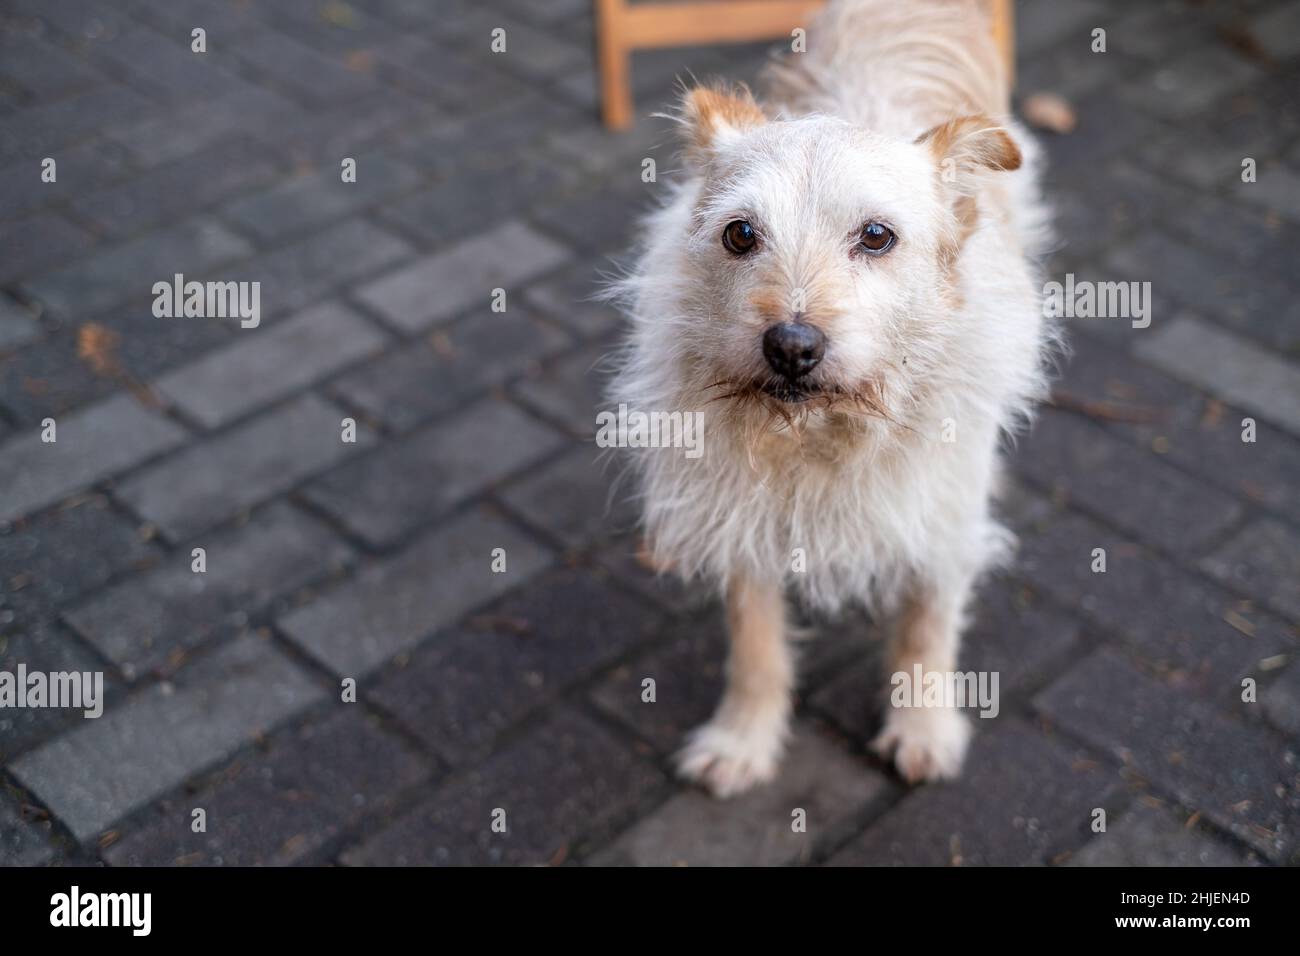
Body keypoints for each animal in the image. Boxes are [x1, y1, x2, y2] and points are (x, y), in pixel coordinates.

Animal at [608, 0, 1055, 796]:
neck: (822, 431)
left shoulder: (941, 518)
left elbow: (925, 630)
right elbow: (754, 641)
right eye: (740, 233)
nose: (791, 346)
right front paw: (744, 738)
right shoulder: (740, 514)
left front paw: (923, 729)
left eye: (876, 236)